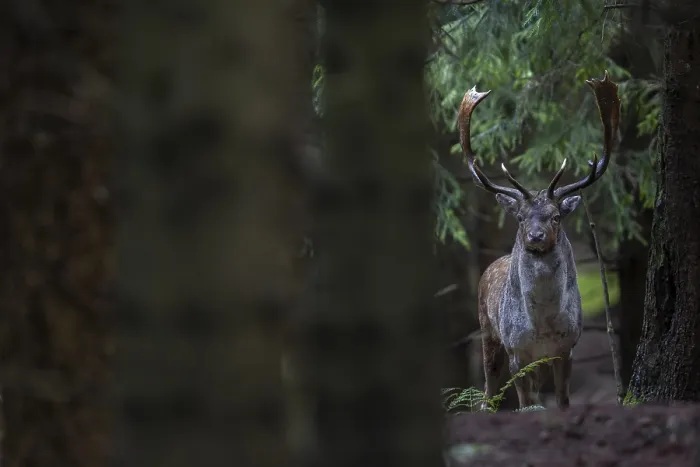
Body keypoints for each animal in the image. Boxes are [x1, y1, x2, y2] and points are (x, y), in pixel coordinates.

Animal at [458, 71, 620, 411]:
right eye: (520, 217)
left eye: (556, 216)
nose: (535, 236)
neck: (543, 327)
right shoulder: (516, 350)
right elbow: (525, 403)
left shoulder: (567, 348)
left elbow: (562, 401)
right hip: (489, 334)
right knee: (488, 395)